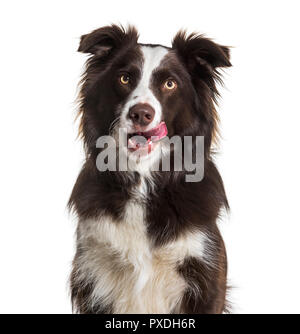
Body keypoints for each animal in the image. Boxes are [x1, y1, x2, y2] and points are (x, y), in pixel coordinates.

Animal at [69, 24, 231, 314]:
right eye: (124, 78)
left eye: (170, 84)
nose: (140, 114)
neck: (143, 179)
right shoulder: (93, 271)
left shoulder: (206, 270)